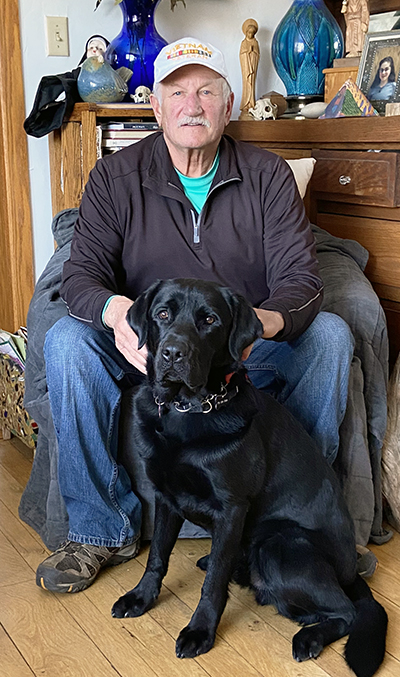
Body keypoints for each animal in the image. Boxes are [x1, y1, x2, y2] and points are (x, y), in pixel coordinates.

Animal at [112, 278, 388, 672]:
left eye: (209, 320)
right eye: (162, 314)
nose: (173, 353)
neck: (188, 409)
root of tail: (350, 573)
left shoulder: (232, 508)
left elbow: (213, 583)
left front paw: (200, 631)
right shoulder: (165, 497)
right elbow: (157, 558)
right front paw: (141, 597)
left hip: (279, 546)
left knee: (346, 611)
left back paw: (309, 637)